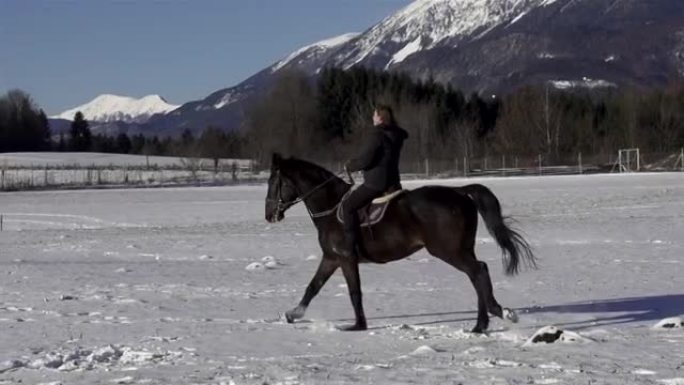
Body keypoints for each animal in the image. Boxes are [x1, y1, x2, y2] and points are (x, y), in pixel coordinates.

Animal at [264, 154, 536, 332]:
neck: (331, 207)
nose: (269, 215)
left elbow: (354, 292)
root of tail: (459, 192)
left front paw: (358, 325)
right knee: (479, 273)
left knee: (478, 272)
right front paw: (293, 313)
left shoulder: (346, 258)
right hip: (463, 248)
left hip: (448, 250)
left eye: (274, 183)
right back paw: (487, 319)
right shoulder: (331, 258)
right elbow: (313, 286)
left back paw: (491, 317)